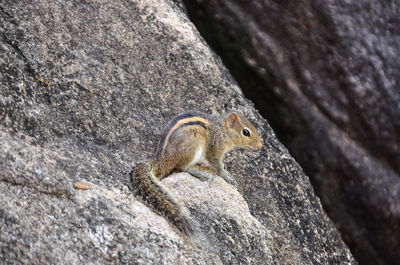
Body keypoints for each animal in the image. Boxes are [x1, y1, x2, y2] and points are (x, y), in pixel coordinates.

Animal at [130, 110, 262, 234]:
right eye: (246, 132)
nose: (260, 145)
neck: (222, 129)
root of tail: (162, 161)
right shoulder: (215, 149)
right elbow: (217, 165)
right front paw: (226, 175)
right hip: (192, 144)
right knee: (182, 167)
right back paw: (202, 174)